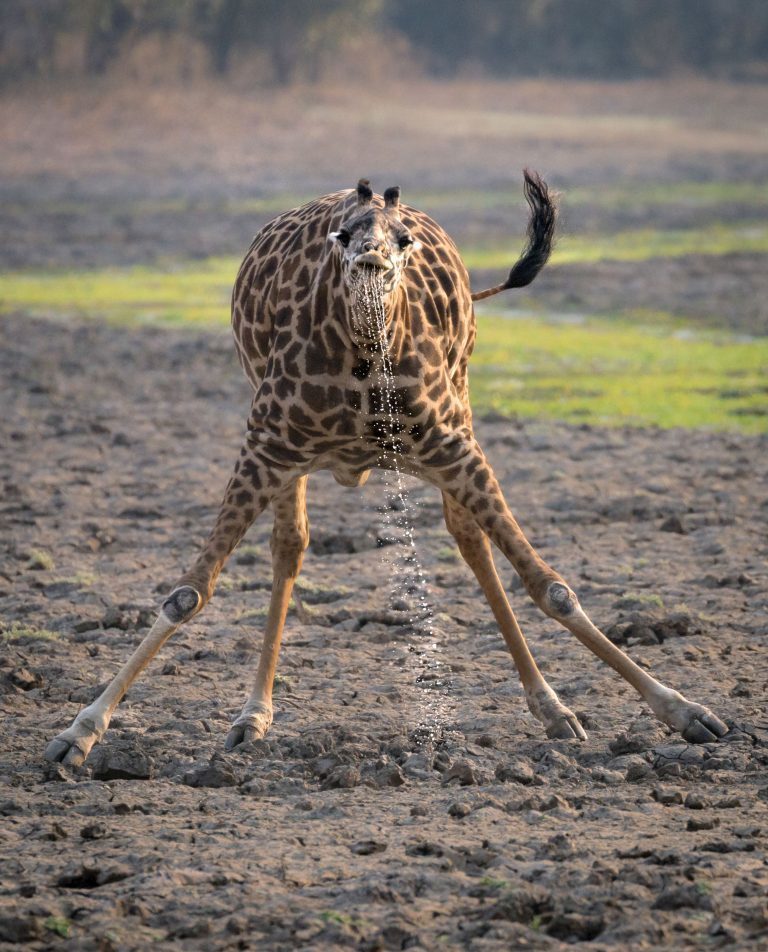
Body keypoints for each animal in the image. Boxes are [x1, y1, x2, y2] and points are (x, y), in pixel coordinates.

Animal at [43, 171, 728, 768]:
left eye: (401, 240)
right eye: (342, 235)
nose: (371, 258)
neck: (365, 354)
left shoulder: (452, 444)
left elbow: (551, 586)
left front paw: (688, 713)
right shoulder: (266, 445)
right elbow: (188, 593)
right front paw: (78, 734)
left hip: (461, 404)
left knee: (469, 538)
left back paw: (554, 710)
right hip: (290, 449)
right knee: (290, 545)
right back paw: (252, 715)